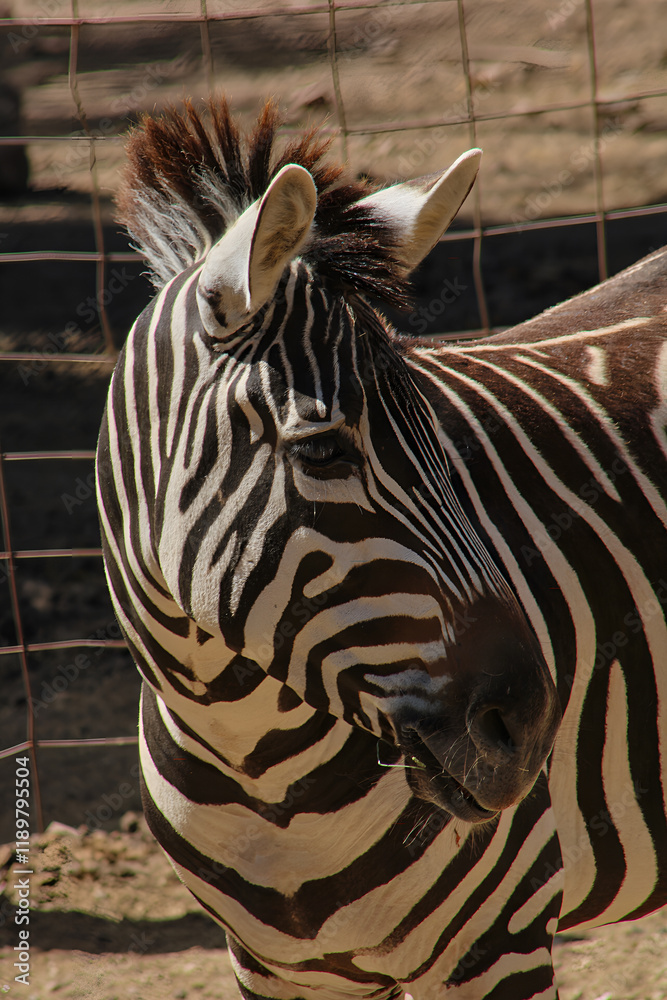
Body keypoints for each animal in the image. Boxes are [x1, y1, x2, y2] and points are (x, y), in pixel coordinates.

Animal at [96, 97, 667, 1000]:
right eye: (323, 450)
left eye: (441, 429)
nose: (532, 729)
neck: (254, 766)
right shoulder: (274, 971)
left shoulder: (495, 952)